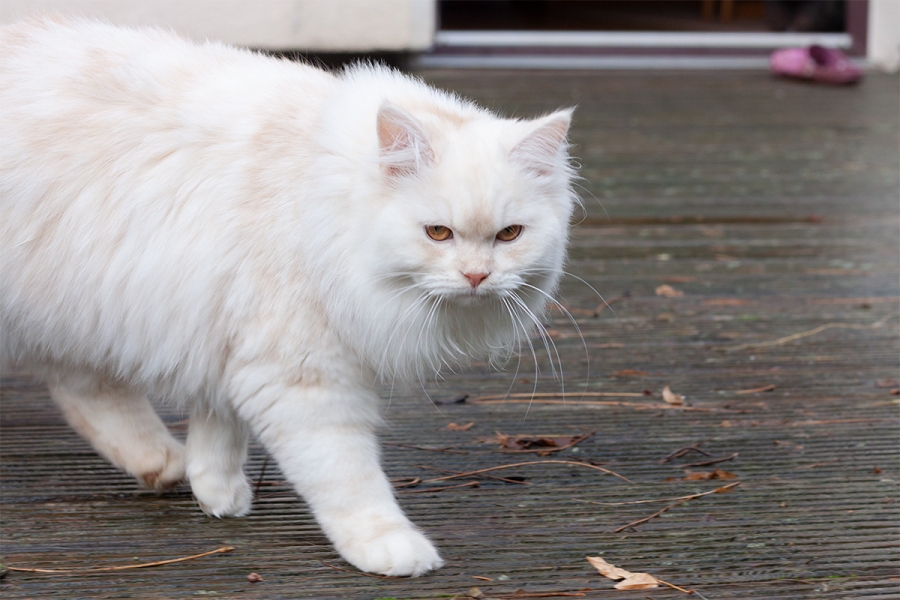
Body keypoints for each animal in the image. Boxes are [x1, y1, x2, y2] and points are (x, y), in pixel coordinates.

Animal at [0, 16, 576, 576]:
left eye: (508, 235)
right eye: (438, 233)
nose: (477, 276)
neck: (324, 196)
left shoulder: (230, 335)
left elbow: (219, 421)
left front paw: (217, 491)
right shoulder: (301, 373)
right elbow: (346, 475)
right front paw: (388, 547)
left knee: (80, 385)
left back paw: (159, 463)